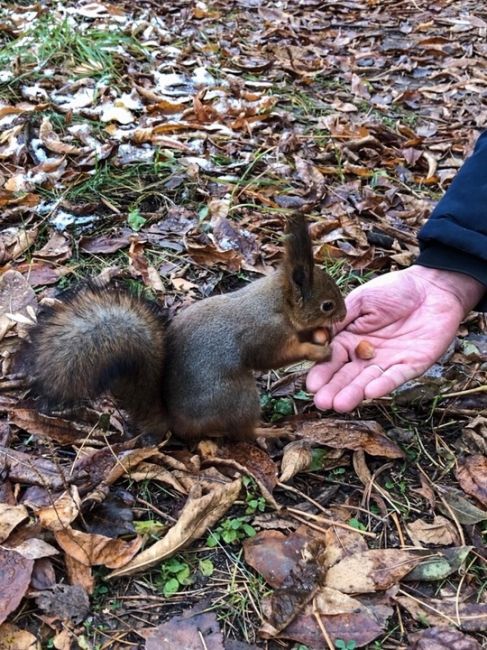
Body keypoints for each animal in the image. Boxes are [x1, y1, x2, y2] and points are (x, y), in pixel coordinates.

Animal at [24, 215, 346, 442]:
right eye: (327, 305)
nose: (343, 315)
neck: (277, 302)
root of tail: (176, 423)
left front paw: (320, 336)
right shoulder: (264, 333)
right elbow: (272, 357)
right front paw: (318, 350)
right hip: (237, 395)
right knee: (242, 433)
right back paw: (268, 432)